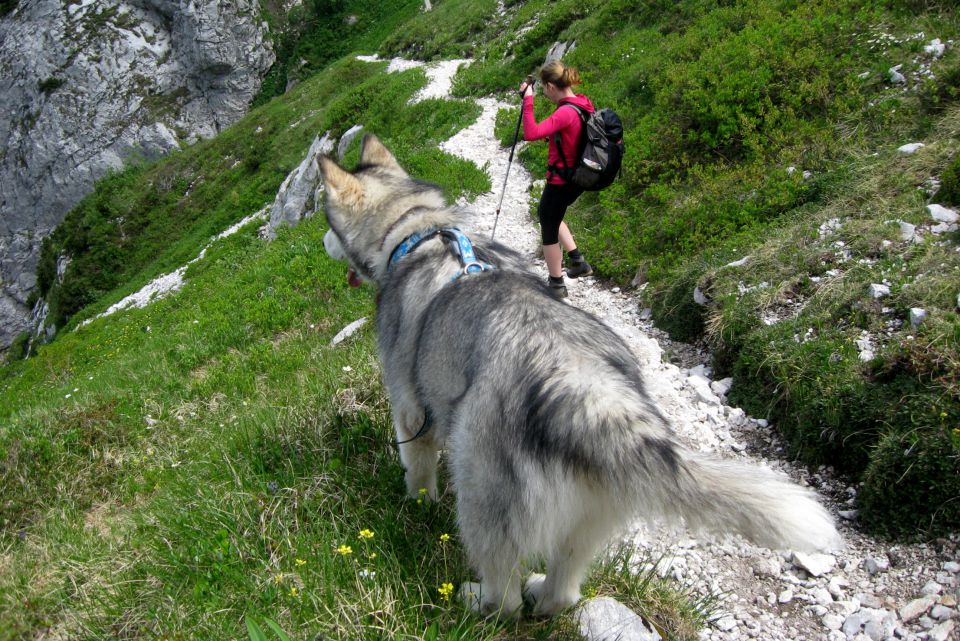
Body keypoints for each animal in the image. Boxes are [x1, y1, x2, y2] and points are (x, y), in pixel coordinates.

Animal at [316, 138, 840, 616]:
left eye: (325, 222)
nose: (319, 243)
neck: (414, 231)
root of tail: (594, 392)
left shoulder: (410, 408)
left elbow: (418, 466)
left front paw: (417, 503)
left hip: (481, 481)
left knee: (504, 592)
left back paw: (477, 600)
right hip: (592, 510)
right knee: (565, 588)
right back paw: (545, 595)